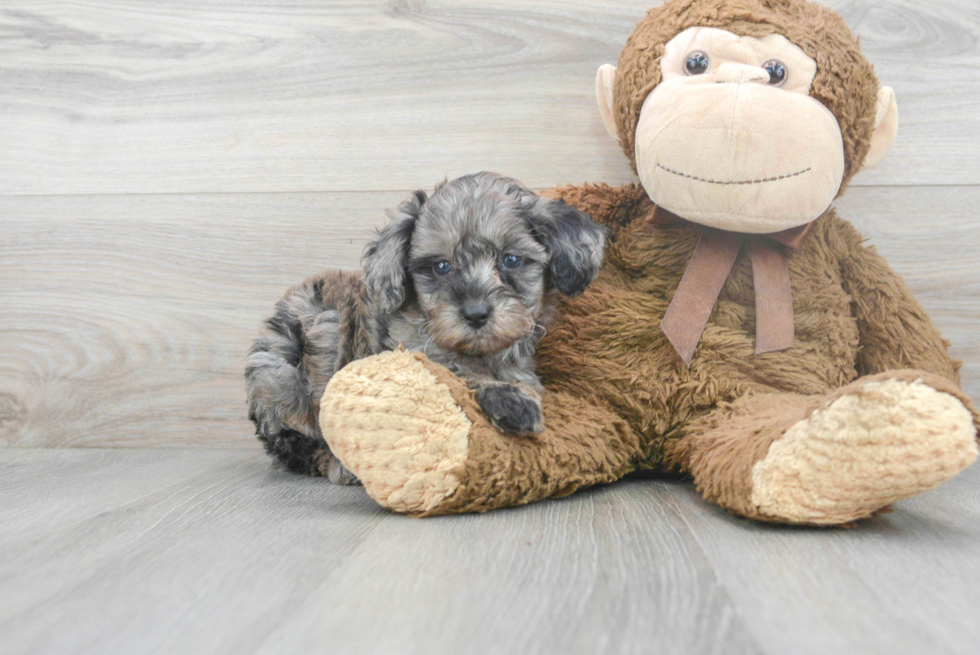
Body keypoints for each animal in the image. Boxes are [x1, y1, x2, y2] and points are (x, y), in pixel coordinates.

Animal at [245, 172, 604, 484]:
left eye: (511, 260)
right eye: (441, 266)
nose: (475, 314)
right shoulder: (409, 359)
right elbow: (456, 377)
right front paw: (510, 402)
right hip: (291, 363)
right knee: (294, 441)